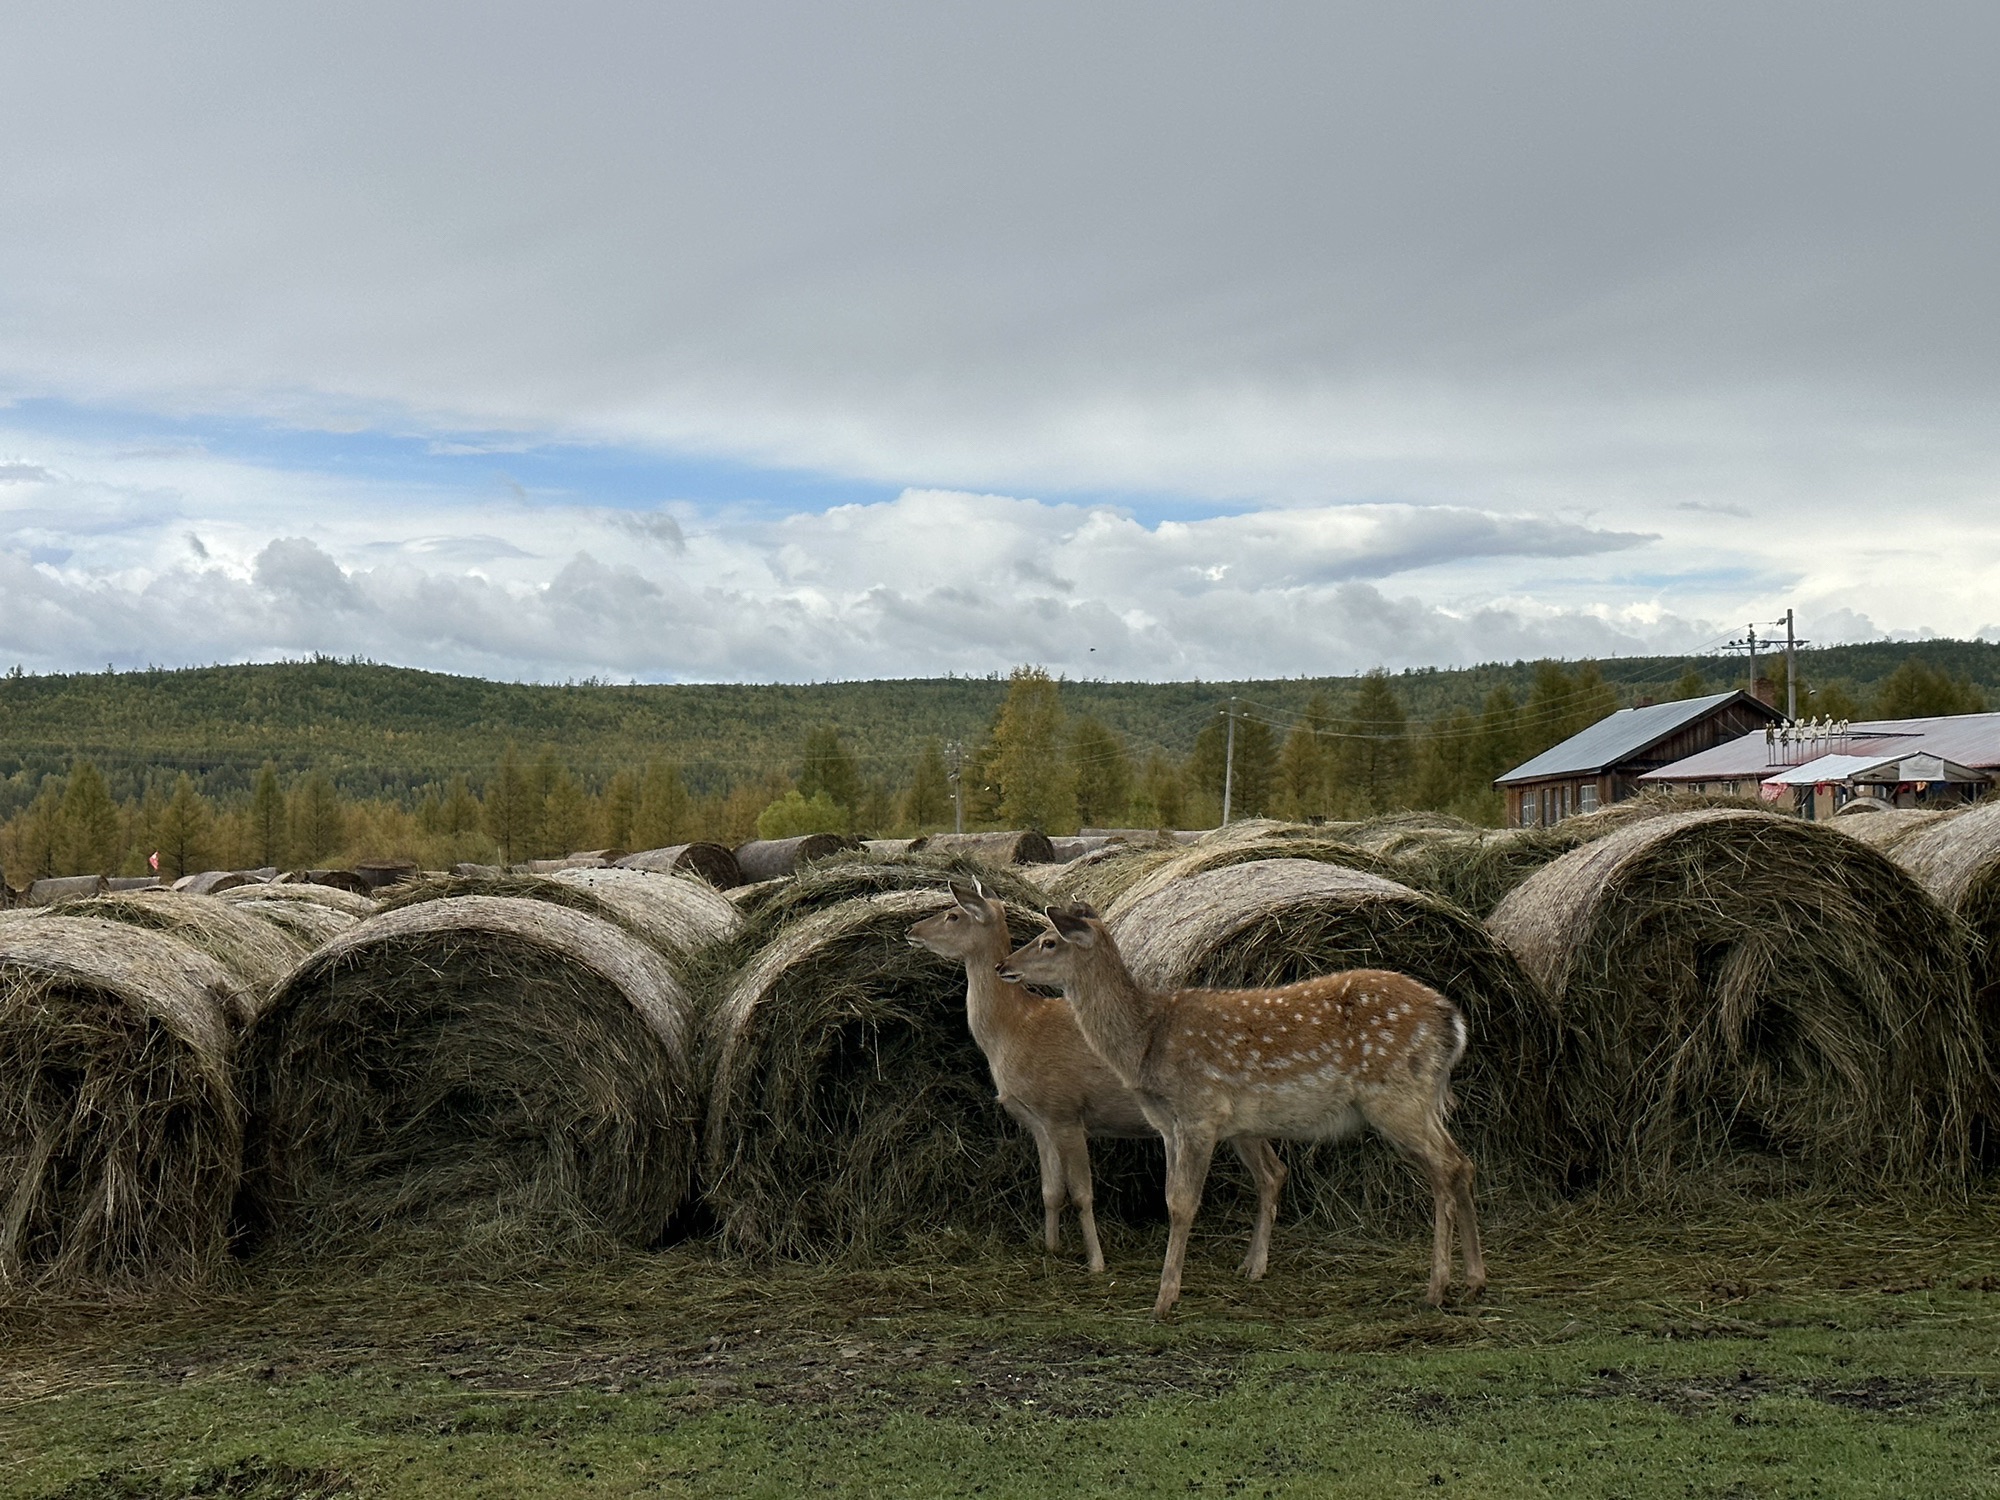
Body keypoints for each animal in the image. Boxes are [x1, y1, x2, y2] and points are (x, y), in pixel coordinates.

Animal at [908, 879, 1286, 1277]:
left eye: (952, 914)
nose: (910, 930)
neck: (1014, 1030)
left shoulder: (1066, 1110)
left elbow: (1081, 1193)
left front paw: (1096, 1262)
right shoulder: (1039, 1121)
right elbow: (1050, 1191)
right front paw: (1050, 1247)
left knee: (1271, 1173)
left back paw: (1256, 1266)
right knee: (1273, 1171)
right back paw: (1248, 1262)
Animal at [999, 904, 1485, 1318]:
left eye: (1048, 941)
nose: (1004, 965)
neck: (1147, 1041)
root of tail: (1454, 1021)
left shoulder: (1200, 1111)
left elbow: (1181, 1204)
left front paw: (1164, 1300)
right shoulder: (1169, 1125)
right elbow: (1173, 1197)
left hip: (1397, 1095)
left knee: (1445, 1167)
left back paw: (1437, 1288)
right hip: (1420, 1100)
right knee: (1462, 1162)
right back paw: (1474, 1281)